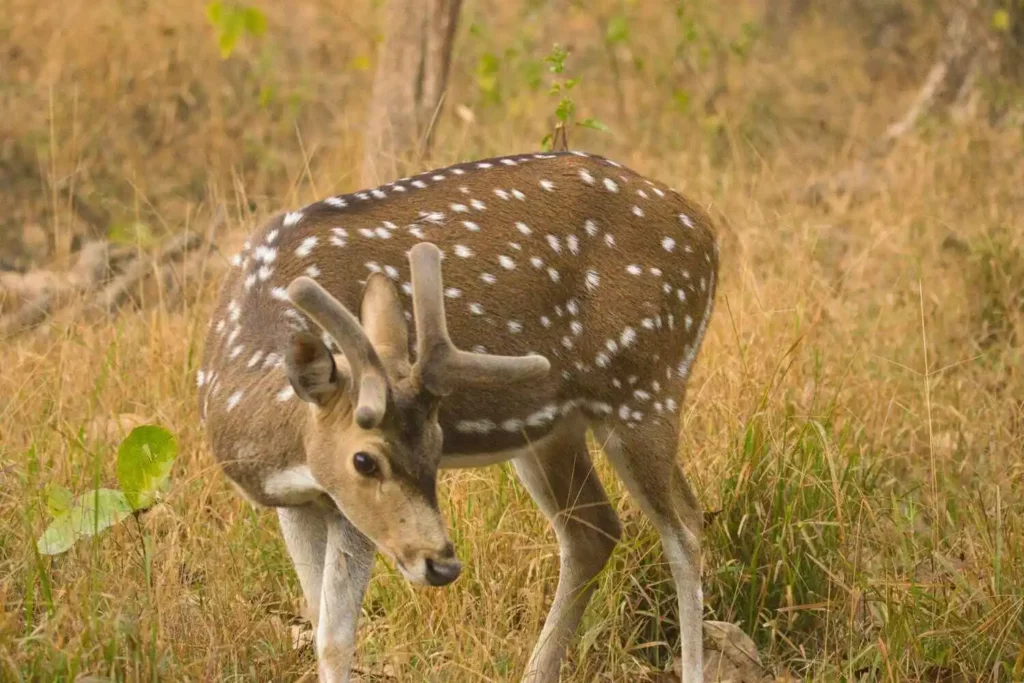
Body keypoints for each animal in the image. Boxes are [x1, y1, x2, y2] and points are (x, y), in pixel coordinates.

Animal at [197, 150, 719, 683]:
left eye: (437, 446)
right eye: (365, 460)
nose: (443, 565)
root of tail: (705, 229)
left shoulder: (345, 509)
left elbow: (335, 639)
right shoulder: (299, 501)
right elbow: (315, 612)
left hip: (645, 384)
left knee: (683, 525)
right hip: (552, 427)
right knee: (593, 530)